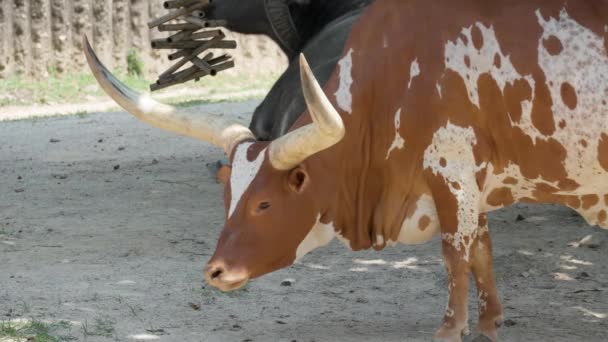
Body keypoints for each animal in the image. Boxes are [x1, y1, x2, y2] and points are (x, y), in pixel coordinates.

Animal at [85, 0, 608, 340]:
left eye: (265, 203)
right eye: (228, 198)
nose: (214, 272)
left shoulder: (452, 172)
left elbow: (457, 255)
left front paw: (451, 329)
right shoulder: (468, 187)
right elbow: (481, 249)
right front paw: (488, 322)